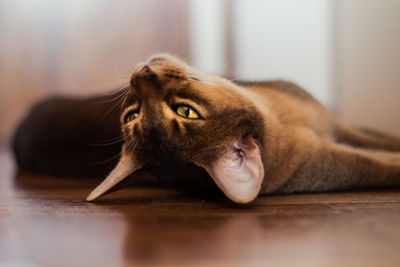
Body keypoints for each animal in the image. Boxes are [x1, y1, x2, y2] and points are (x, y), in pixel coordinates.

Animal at [12, 54, 400, 204]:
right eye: (133, 115)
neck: (287, 123)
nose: (141, 75)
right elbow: (379, 163)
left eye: (186, 111)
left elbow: (381, 138)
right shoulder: (340, 157)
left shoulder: (340, 126)